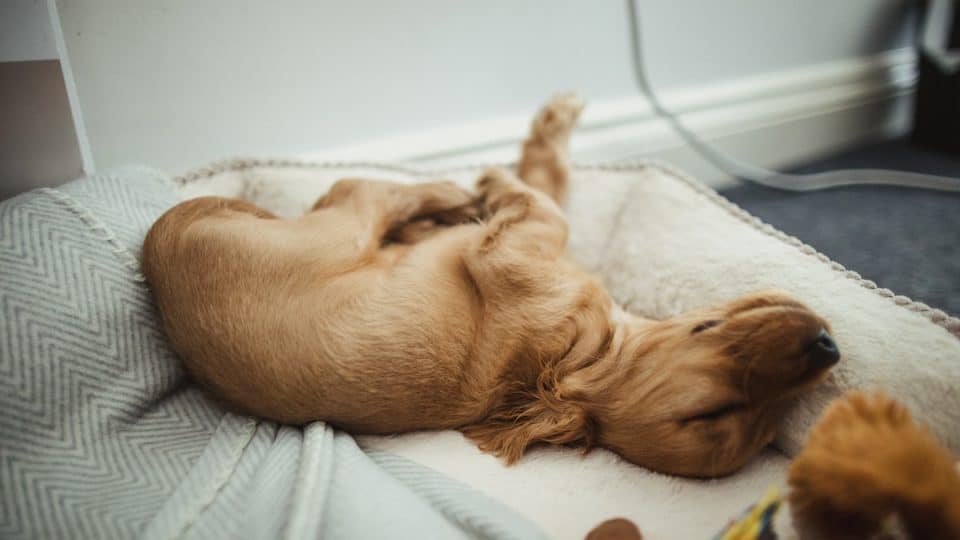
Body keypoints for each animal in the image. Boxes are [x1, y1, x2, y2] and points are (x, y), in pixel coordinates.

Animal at [142, 94, 840, 476]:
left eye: (753, 422)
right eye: (713, 412)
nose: (828, 347)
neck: (582, 355)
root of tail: (160, 239)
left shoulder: (513, 252)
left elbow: (542, 200)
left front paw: (497, 179)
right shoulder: (523, 251)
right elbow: (547, 190)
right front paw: (537, 139)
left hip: (338, 230)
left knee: (357, 187)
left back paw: (444, 198)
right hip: (342, 232)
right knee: (363, 188)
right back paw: (450, 198)